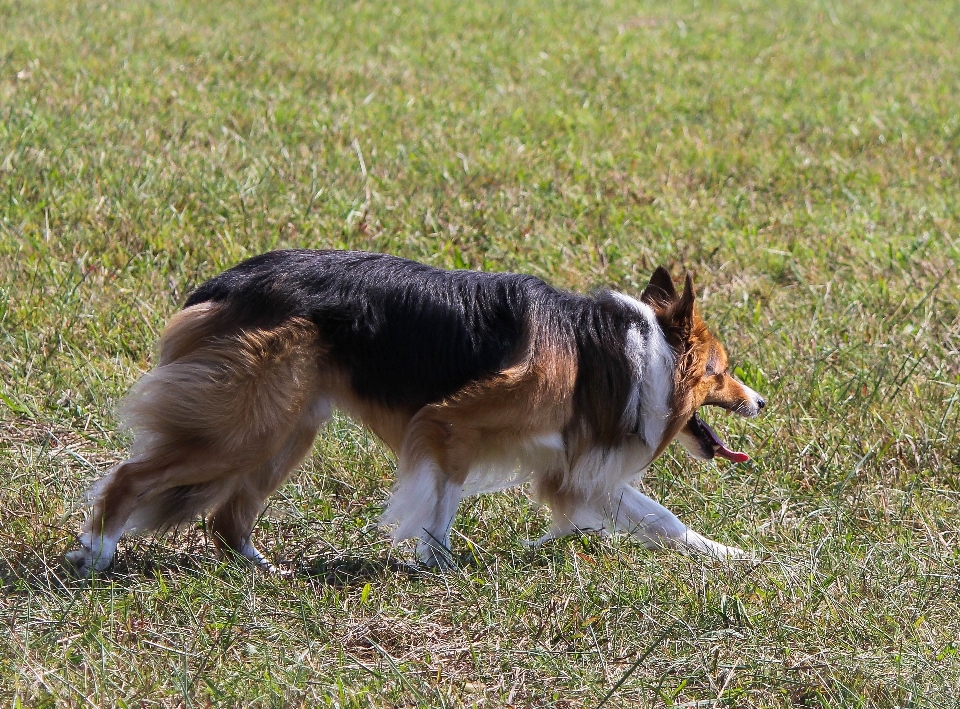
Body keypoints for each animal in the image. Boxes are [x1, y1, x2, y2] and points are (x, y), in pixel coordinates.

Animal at [65, 249, 764, 576]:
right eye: (722, 371)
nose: (761, 401)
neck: (625, 352)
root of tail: (222, 284)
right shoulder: (448, 423)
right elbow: (442, 500)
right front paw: (441, 563)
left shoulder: (571, 465)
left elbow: (664, 520)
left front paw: (735, 557)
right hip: (245, 426)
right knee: (130, 477)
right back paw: (97, 551)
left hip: (287, 429)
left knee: (225, 518)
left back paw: (267, 572)